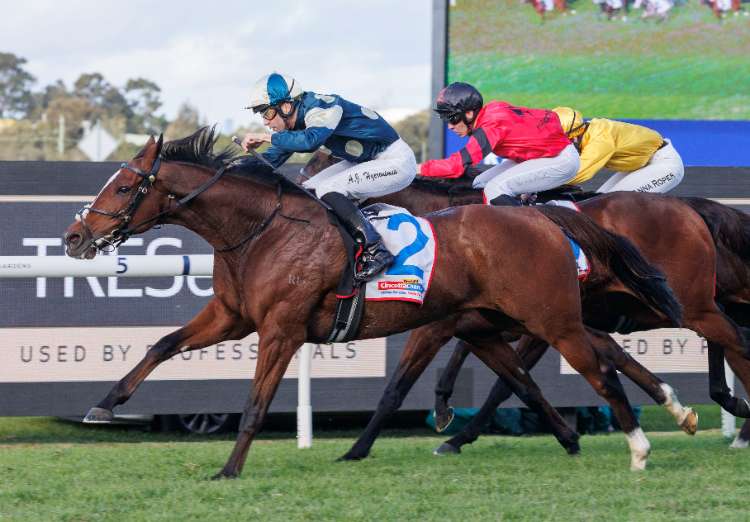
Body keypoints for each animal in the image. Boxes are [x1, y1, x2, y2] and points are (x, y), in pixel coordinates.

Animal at [62, 128, 680, 475]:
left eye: (123, 187)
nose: (74, 237)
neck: (261, 230)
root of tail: (541, 217)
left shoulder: (282, 329)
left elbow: (257, 404)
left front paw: (230, 469)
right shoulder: (232, 317)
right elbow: (162, 345)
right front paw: (105, 404)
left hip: (551, 318)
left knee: (599, 367)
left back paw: (643, 444)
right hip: (489, 323)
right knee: (531, 376)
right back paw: (582, 436)